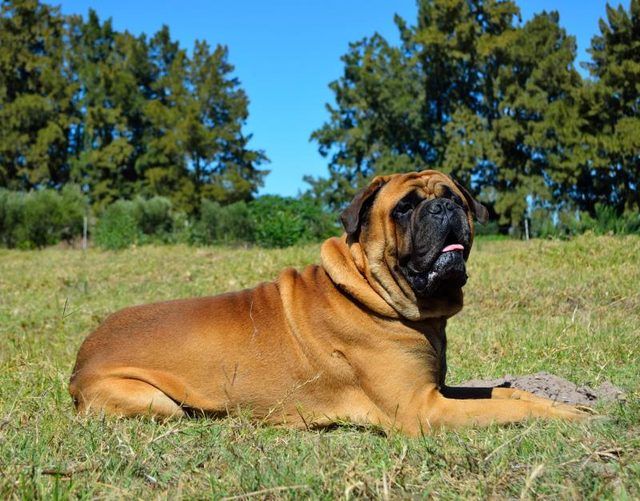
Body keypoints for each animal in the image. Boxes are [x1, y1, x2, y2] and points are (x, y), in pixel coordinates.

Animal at [69, 169, 584, 434]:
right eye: (404, 207)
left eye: (455, 196)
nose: (444, 207)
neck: (373, 292)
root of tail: (80, 359)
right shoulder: (423, 408)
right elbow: (507, 408)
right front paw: (567, 414)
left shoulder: (435, 391)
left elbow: (504, 394)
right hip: (155, 401)